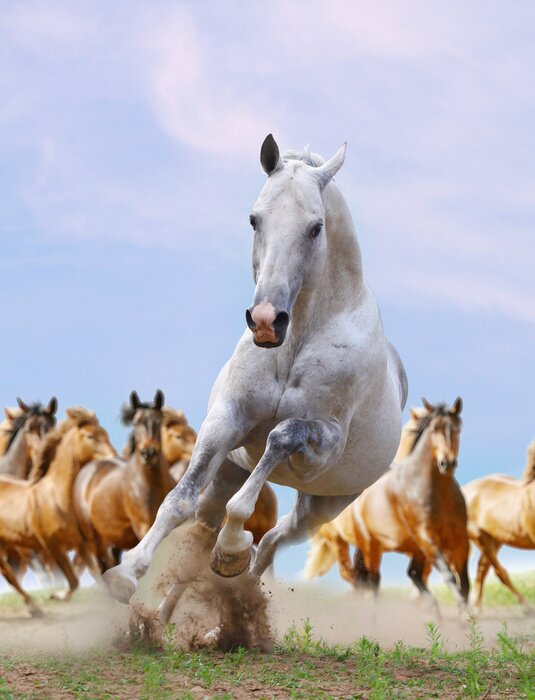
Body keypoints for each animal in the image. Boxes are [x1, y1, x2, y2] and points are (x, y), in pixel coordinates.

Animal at [0, 407, 116, 614]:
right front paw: (56, 596)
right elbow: (72, 581)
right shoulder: (53, 547)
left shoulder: (82, 544)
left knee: (9, 574)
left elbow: (96, 575)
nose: (114, 457)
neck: (58, 499)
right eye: (90, 436)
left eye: (105, 434)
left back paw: (33, 607)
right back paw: (34, 607)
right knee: (9, 574)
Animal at [104, 134, 407, 608]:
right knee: (206, 528)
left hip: (322, 505)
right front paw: (126, 573)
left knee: (272, 541)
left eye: (316, 227)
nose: (266, 321)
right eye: (254, 219)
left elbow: (278, 440)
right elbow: (178, 501)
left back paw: (237, 578)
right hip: (230, 472)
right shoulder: (226, 421)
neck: (296, 341)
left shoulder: (321, 444)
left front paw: (231, 548)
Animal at [306, 399, 469, 615]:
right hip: (355, 543)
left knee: (409, 574)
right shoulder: (428, 539)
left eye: (458, 429)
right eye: (434, 429)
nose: (447, 463)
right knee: (368, 579)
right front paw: (465, 616)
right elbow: (449, 575)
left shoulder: (460, 540)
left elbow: (463, 581)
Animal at [463, 439, 535, 612]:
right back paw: (526, 608)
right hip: (481, 538)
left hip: (496, 540)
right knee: (499, 572)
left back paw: (476, 609)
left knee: (482, 568)